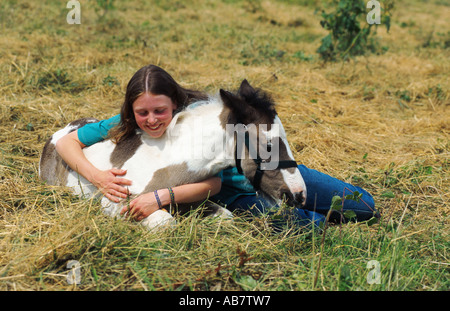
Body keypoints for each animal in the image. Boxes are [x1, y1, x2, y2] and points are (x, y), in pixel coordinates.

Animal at [39, 80, 306, 230]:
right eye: (268, 145)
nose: (299, 195)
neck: (169, 158)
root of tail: (59, 134)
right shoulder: (113, 201)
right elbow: (165, 223)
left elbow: (226, 217)